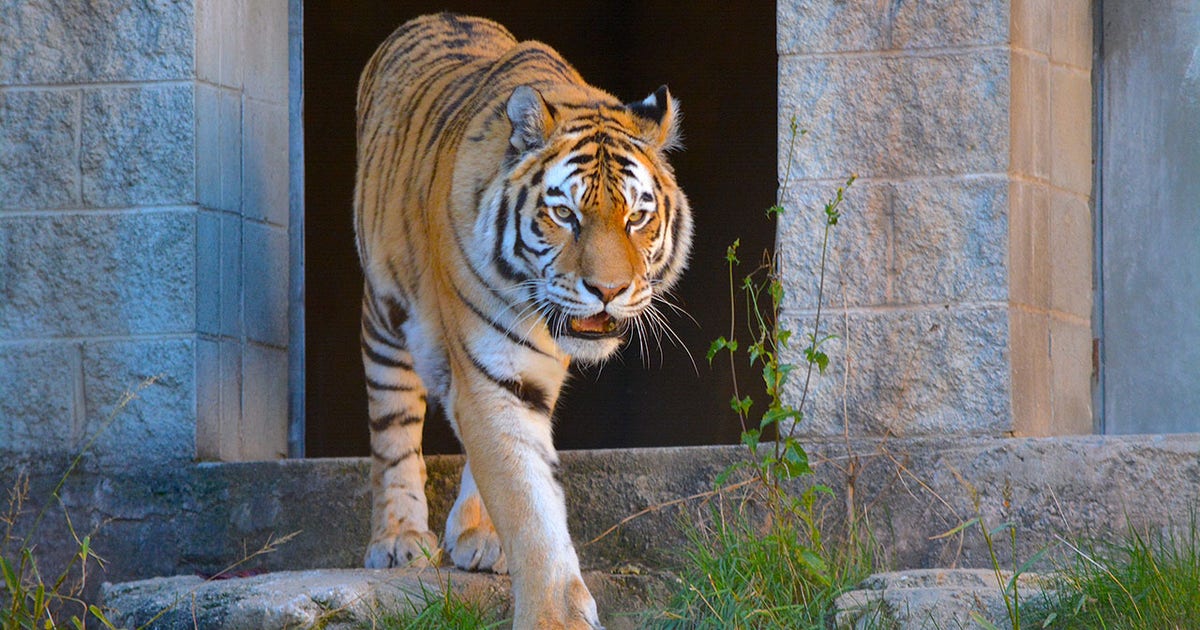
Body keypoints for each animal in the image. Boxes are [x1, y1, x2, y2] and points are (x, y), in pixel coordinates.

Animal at [353, 13, 693, 629]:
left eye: (637, 217)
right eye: (564, 213)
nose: (608, 291)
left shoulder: (524, 374)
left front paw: (487, 536)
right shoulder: (491, 369)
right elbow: (528, 505)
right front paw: (554, 617)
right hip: (385, 314)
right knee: (393, 425)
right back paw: (398, 539)